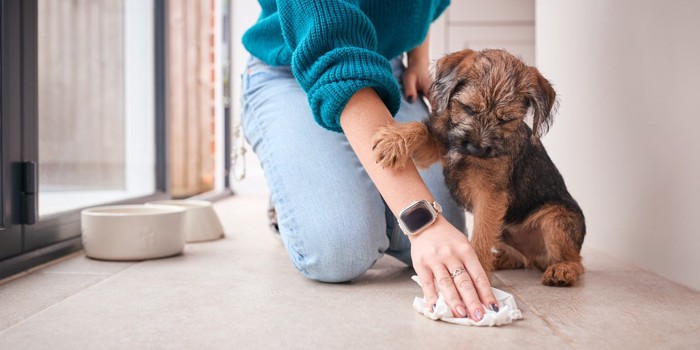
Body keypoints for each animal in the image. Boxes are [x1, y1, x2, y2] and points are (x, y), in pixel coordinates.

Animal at [372, 47, 584, 286]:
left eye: (506, 120)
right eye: (468, 108)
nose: (477, 147)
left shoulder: (489, 196)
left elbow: (481, 235)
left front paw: (479, 271)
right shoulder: (438, 146)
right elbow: (422, 129)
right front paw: (394, 139)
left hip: (555, 220)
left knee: (575, 261)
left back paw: (562, 270)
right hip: (504, 228)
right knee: (520, 258)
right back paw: (500, 259)